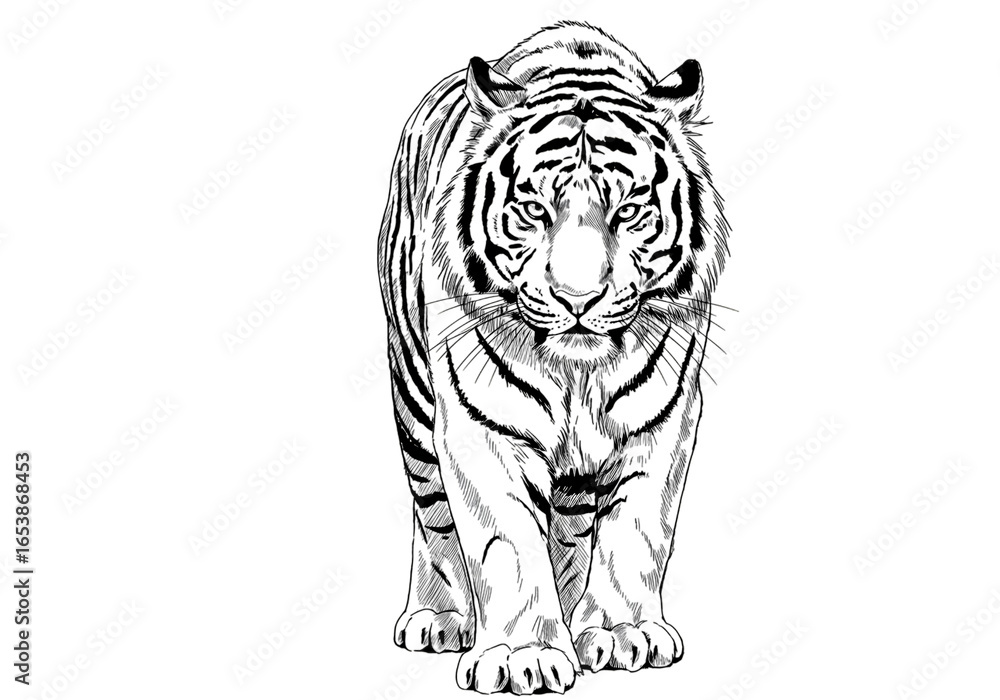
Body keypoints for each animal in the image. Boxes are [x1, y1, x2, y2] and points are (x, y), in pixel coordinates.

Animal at [377, 20, 730, 695]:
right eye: (534, 211)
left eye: (628, 211)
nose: (577, 297)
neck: (577, 374)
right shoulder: (481, 425)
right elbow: (506, 544)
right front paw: (525, 658)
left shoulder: (663, 420)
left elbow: (636, 532)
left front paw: (624, 634)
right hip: (413, 399)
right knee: (432, 517)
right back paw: (438, 618)